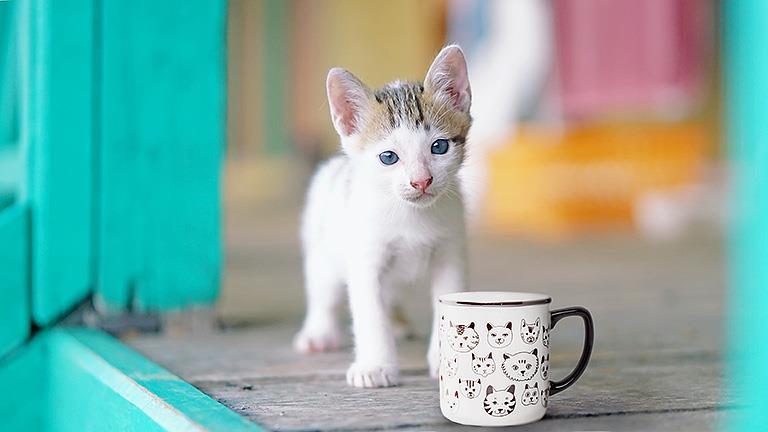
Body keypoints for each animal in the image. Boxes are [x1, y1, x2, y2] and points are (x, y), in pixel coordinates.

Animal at [294, 45, 474, 390]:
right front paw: (375, 366)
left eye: (439, 147)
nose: (421, 181)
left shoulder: (451, 253)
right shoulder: (365, 261)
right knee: (322, 291)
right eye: (388, 157)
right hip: (323, 249)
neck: (410, 216)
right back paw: (318, 332)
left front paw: (445, 362)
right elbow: (369, 315)